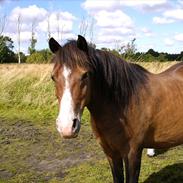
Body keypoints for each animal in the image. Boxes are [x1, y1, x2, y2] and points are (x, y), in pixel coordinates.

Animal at [48, 35, 183, 182]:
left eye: (85, 75)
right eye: (53, 77)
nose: (66, 127)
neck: (123, 104)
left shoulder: (132, 154)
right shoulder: (111, 154)